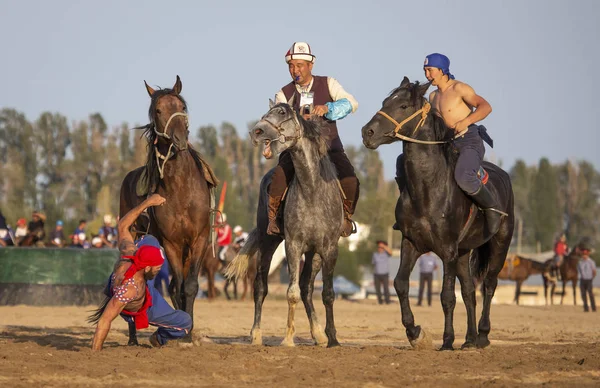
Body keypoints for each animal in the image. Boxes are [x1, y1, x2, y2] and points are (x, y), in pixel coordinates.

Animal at [119, 76, 216, 342]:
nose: (180, 140)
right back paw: (132, 338)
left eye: (182, 106)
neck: (181, 188)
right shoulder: (171, 243)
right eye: (159, 110)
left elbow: (189, 286)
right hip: (133, 235)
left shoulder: (198, 239)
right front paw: (183, 332)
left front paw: (188, 332)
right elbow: (179, 286)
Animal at [226, 101, 342, 348]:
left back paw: (318, 334)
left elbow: (326, 293)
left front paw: (332, 338)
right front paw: (288, 339)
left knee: (308, 288)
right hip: (268, 242)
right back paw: (256, 334)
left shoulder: (329, 248)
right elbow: (291, 293)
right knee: (260, 287)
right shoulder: (293, 245)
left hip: (314, 254)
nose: (257, 131)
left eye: (282, 113)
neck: (312, 188)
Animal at [360, 77, 516, 350]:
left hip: (499, 245)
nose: (367, 132)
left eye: (402, 105)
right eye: (385, 101)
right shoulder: (411, 243)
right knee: (469, 292)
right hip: (464, 253)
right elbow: (400, 284)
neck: (428, 188)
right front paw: (414, 331)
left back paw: (482, 335)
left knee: (488, 285)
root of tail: (504, 177)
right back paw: (469, 339)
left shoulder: (447, 251)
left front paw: (447, 340)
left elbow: (446, 296)